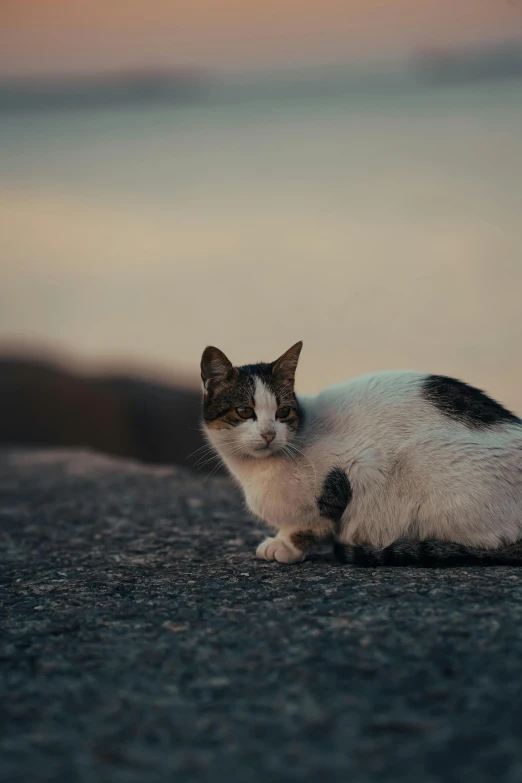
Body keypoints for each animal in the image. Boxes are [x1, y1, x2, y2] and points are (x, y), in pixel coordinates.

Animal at [198, 342, 520, 564]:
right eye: (244, 411)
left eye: (283, 412)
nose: (268, 433)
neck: (255, 471)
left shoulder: (358, 466)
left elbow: (311, 522)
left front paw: (287, 546)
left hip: (424, 463)